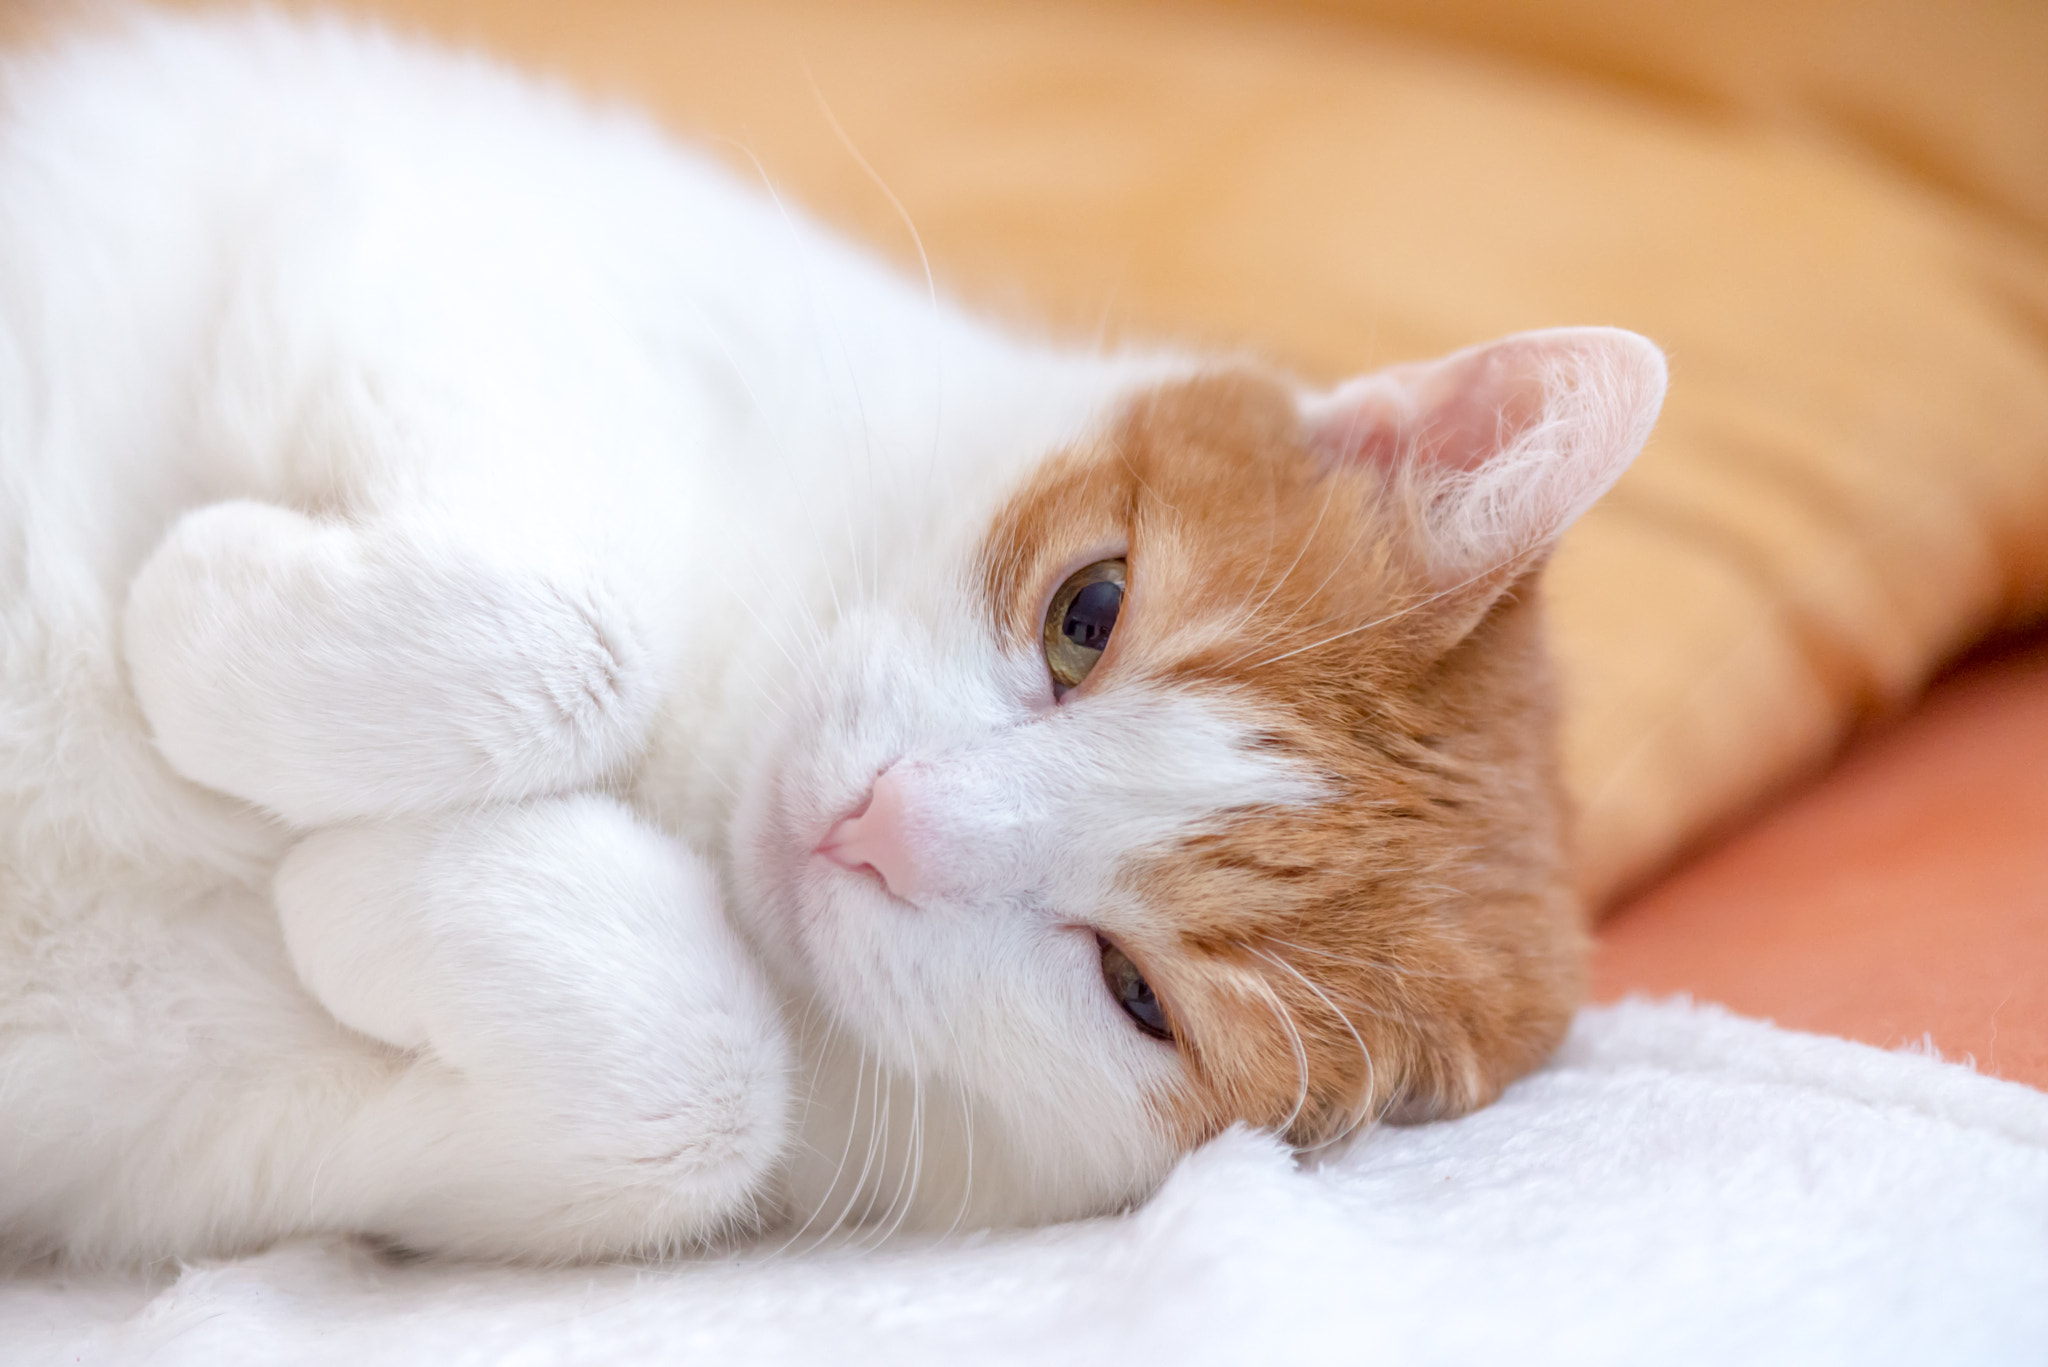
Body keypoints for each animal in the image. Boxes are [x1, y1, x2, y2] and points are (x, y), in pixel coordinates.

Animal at [0, 13, 1662, 1270]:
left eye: (1136, 992)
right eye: (1088, 614)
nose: (882, 819)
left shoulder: (166, 1148)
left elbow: (693, 1096)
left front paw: (401, 881)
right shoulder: (417, 222)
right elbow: (583, 632)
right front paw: (194, 612)